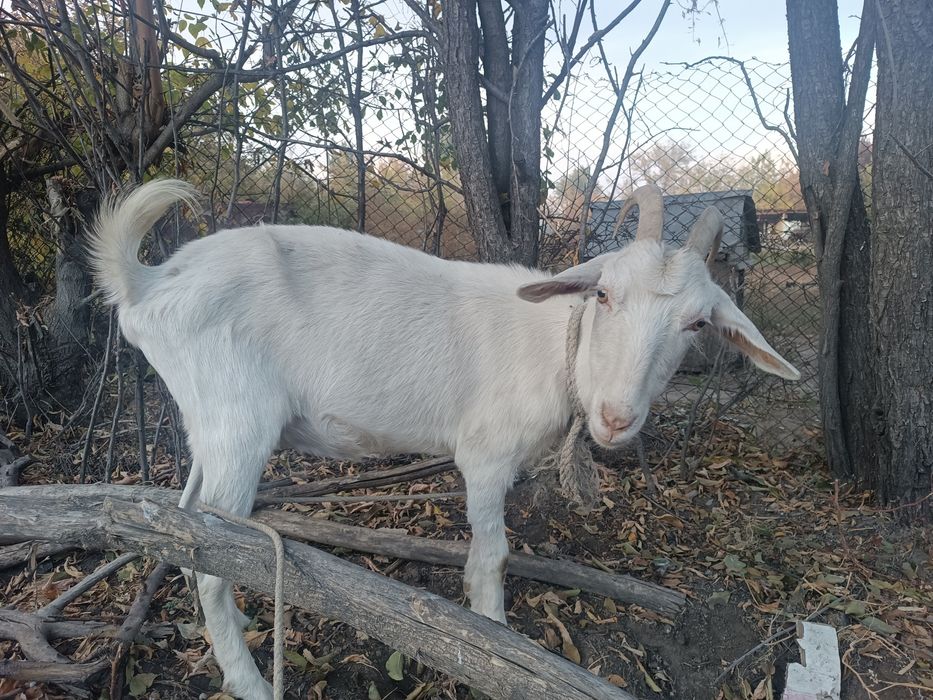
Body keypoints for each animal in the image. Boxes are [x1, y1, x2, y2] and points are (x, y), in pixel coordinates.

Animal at [89, 180, 799, 699]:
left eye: (698, 323)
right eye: (602, 294)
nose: (617, 417)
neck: (554, 347)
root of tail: (147, 285)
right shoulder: (485, 456)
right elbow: (491, 559)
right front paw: (496, 645)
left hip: (210, 424)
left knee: (191, 531)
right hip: (238, 420)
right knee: (211, 557)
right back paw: (251, 683)